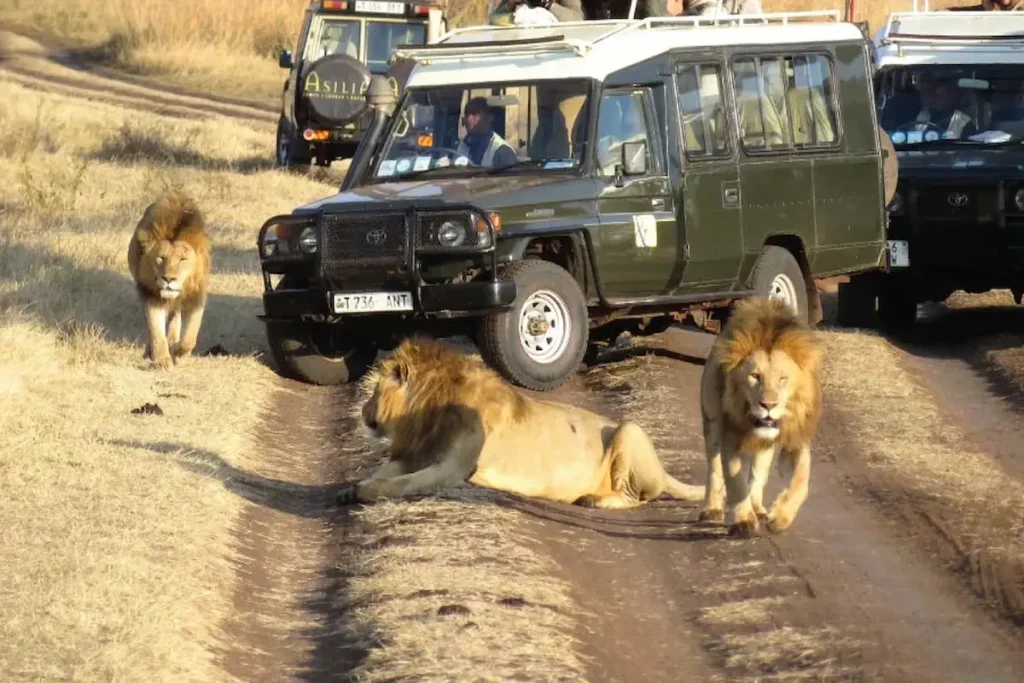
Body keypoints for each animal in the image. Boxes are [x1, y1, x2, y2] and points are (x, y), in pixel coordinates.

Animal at [335, 335, 704, 507]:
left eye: (374, 390)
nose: (363, 412)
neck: (427, 412)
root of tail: (662, 470)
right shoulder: (416, 453)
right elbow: (384, 471)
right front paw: (351, 487)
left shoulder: (452, 469)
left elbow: (403, 483)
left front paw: (367, 491)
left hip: (630, 429)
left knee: (635, 497)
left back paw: (592, 499)